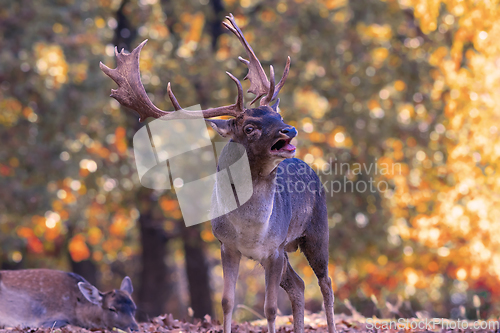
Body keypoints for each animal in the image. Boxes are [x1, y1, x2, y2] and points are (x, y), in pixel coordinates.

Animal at [99, 13, 336, 332]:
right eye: (249, 127)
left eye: (278, 115)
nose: (290, 130)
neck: (251, 232)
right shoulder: (227, 246)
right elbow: (227, 301)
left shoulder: (273, 249)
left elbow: (270, 308)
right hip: (291, 247)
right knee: (299, 285)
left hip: (316, 230)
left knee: (326, 283)